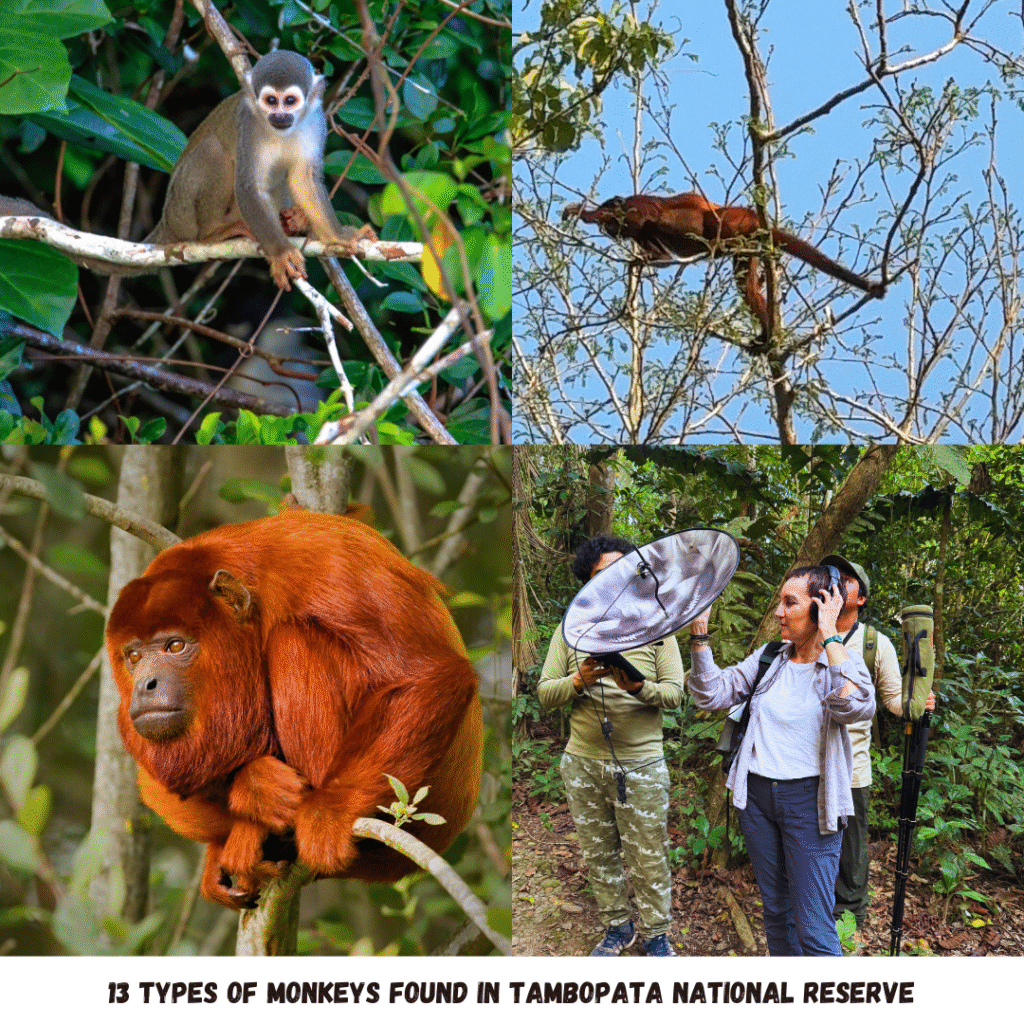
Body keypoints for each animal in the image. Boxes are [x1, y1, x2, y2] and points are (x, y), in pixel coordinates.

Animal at [0, 51, 375, 290]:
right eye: (271, 101)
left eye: (290, 101)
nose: (279, 116)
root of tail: (166, 223)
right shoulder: (248, 123)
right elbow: (248, 186)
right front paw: (280, 252)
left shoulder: (316, 121)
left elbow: (304, 177)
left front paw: (339, 236)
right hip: (181, 212)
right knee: (214, 154)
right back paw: (213, 234)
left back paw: (292, 220)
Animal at [563, 193, 885, 346]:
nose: (609, 231)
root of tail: (754, 220)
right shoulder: (642, 233)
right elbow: (661, 256)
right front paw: (640, 260)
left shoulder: (638, 206)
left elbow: (640, 218)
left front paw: (586, 213)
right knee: (746, 285)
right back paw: (766, 332)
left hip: (735, 219)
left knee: (713, 221)